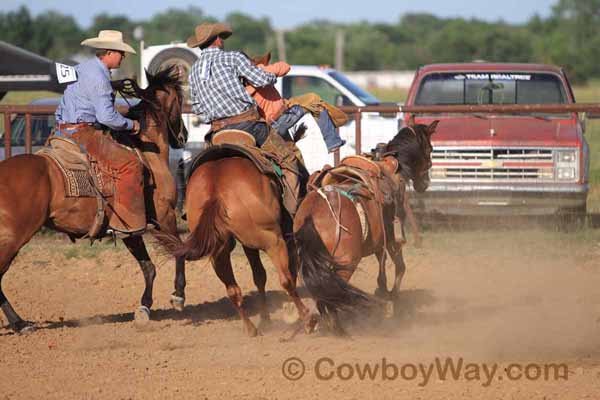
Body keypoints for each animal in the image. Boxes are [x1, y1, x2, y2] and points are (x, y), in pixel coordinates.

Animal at [0, 65, 188, 332]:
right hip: (13, 237)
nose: (183, 136)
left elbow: (148, 267)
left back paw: (19, 322)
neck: (148, 154)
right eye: (179, 99)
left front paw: (144, 308)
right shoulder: (164, 216)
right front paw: (178, 296)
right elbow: (180, 251)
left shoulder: (130, 229)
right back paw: (20, 322)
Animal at [157, 135, 312, 338]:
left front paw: (266, 319)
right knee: (286, 279)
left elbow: (259, 276)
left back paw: (252, 328)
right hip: (272, 240)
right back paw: (308, 320)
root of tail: (216, 190)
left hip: (220, 251)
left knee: (234, 290)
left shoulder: (248, 243)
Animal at [294, 122, 438, 334]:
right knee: (331, 291)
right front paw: (392, 300)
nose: (425, 184)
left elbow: (383, 266)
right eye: (430, 149)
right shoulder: (392, 237)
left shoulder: (378, 240)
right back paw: (338, 328)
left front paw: (382, 291)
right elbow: (400, 267)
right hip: (346, 263)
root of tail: (312, 213)